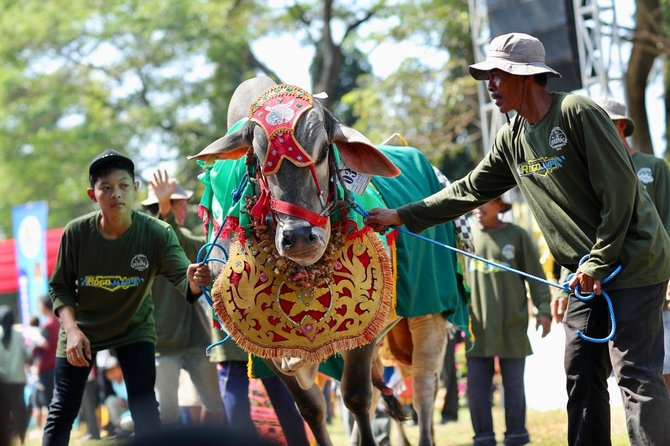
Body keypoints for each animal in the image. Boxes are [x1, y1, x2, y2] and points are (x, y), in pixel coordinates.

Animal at [190, 77, 468, 446]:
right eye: (260, 159)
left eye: (324, 151)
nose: (298, 236)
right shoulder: (271, 352)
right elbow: (311, 409)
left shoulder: (364, 328)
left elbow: (356, 397)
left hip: (430, 315)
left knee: (423, 389)